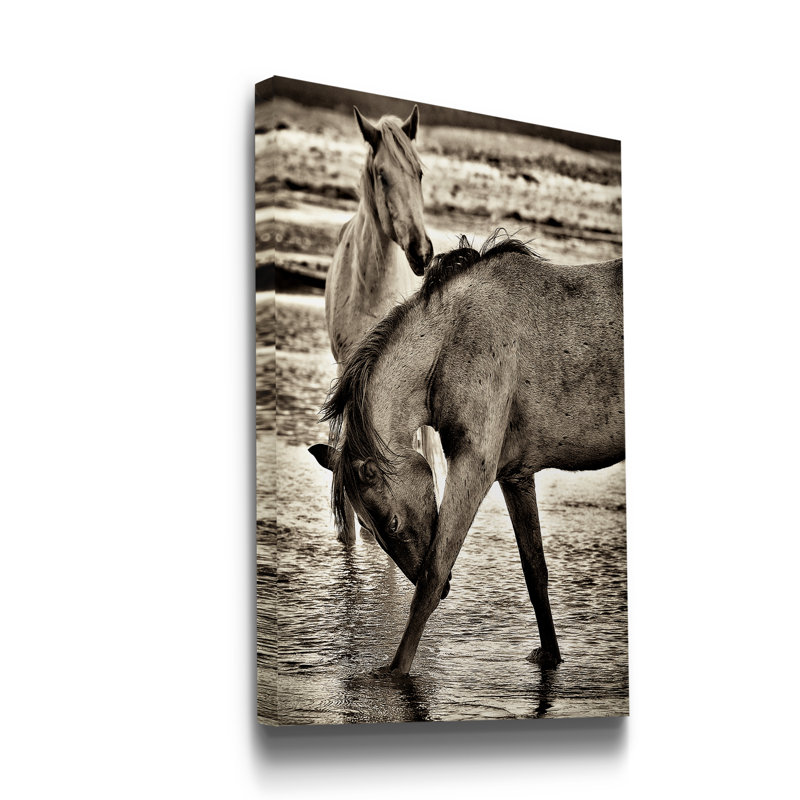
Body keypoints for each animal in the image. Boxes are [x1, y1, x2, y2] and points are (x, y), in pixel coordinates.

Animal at [310, 233, 624, 674]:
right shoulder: (515, 475)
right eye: (368, 529)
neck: (452, 343)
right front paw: (550, 655)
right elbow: (535, 571)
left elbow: (432, 574)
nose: (449, 593)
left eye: (391, 523)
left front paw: (396, 672)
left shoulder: (475, 466)